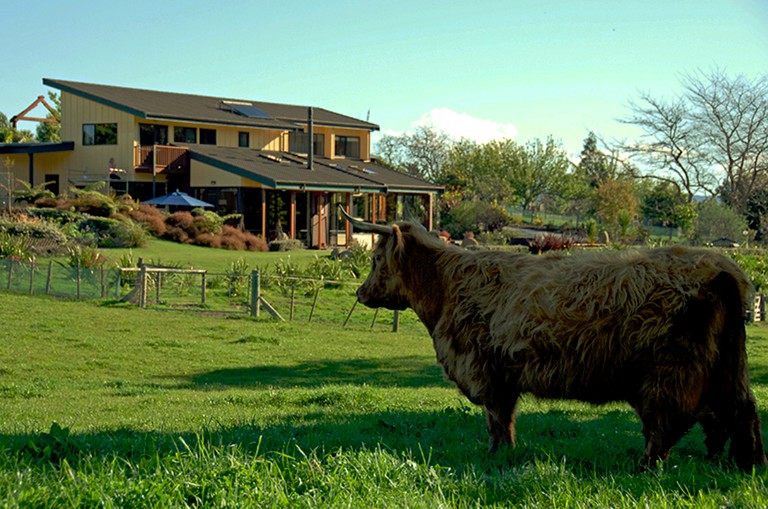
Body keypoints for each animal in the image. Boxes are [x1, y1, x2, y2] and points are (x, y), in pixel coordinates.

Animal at [342, 205, 768, 468]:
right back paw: (744, 465)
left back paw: (645, 467)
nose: (361, 293)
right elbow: (503, 419)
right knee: (739, 411)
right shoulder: (502, 374)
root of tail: (725, 268)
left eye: (375, 259)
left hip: (671, 371)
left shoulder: (484, 368)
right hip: (727, 365)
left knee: (670, 423)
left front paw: (495, 456)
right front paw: (505, 455)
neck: (444, 287)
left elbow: (496, 420)